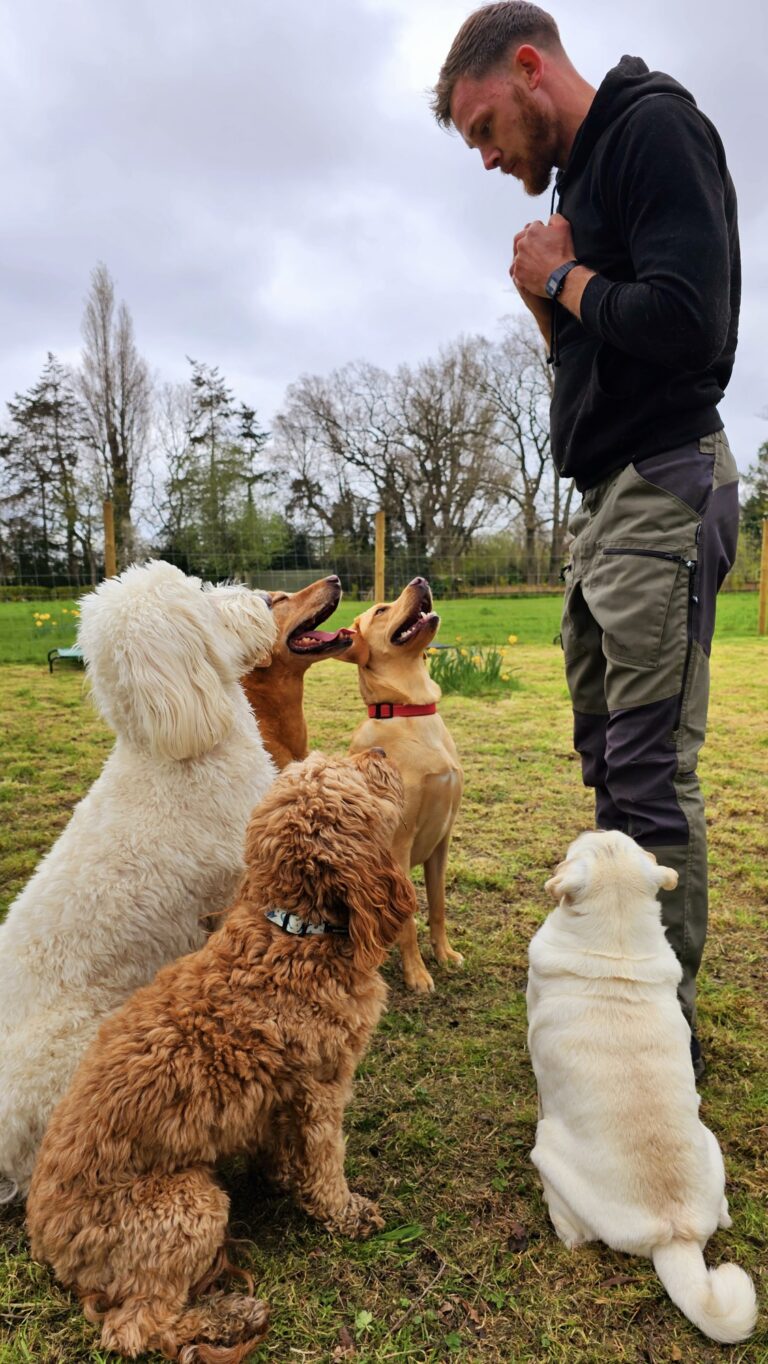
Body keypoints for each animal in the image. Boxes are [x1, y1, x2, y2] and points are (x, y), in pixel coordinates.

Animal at [28, 747, 414, 1364]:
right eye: (353, 775)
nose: (378, 750)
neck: (294, 932)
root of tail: (46, 1242)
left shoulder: (280, 1100)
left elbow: (282, 1148)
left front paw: (283, 1178)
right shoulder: (321, 1091)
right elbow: (326, 1163)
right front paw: (345, 1212)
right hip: (188, 1205)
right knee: (136, 1329)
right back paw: (230, 1318)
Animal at [529, 829, 758, 1342]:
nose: (599, 828)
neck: (615, 942)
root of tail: (675, 1236)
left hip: (544, 1148)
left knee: (572, 1231)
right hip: (711, 1145)